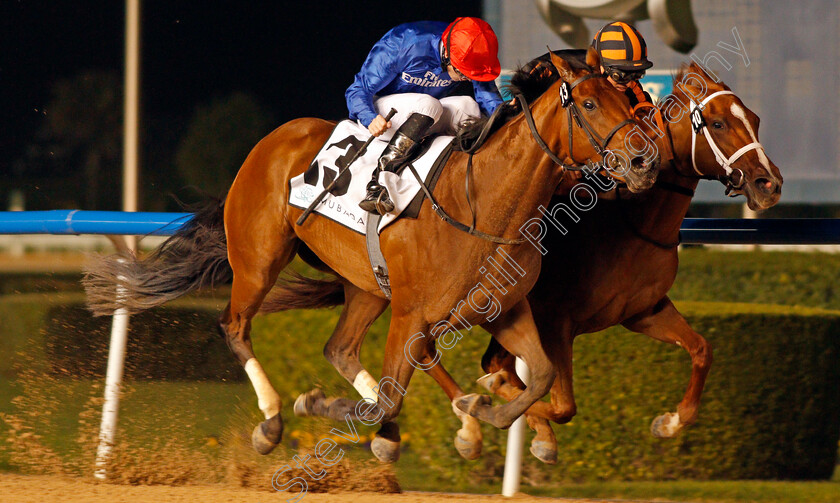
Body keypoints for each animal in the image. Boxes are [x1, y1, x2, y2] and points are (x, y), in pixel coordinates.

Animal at [82, 49, 656, 462]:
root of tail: (271, 140)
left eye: (629, 101)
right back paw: (272, 419)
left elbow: (539, 376)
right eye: (588, 104)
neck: (484, 205)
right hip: (259, 261)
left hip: (365, 285)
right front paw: (323, 404)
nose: (643, 161)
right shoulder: (411, 312)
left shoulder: (501, 308)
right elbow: (393, 392)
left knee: (340, 347)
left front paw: (485, 413)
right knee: (236, 326)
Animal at [266, 62, 784, 464]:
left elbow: (701, 349)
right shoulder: (554, 319)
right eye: (716, 123)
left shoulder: (643, 311)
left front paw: (671, 422)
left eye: (756, 119)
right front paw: (503, 409)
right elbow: (552, 399)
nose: (769, 184)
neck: (628, 220)